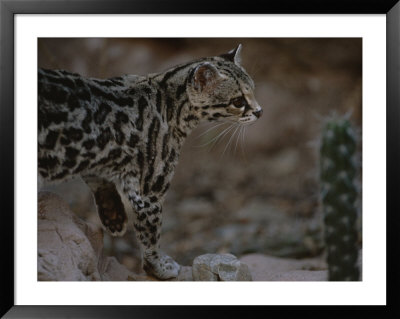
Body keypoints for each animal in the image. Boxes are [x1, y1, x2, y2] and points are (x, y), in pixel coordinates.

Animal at [37, 45, 262, 280]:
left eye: (253, 91)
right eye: (238, 101)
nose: (259, 111)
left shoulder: (94, 153)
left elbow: (98, 178)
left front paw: (113, 216)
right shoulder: (149, 192)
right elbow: (150, 236)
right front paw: (158, 266)